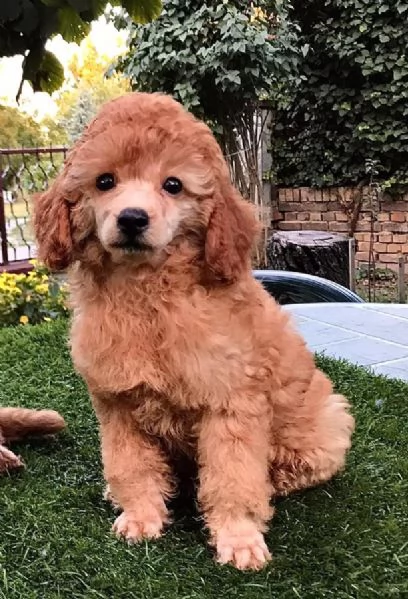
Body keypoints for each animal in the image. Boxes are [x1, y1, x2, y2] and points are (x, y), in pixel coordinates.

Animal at [34, 91, 354, 568]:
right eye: (105, 181)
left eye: (173, 185)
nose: (132, 218)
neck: (147, 294)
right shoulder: (118, 403)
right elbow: (131, 465)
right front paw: (140, 515)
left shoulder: (231, 404)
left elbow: (232, 477)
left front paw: (239, 537)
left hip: (328, 417)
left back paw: (275, 482)